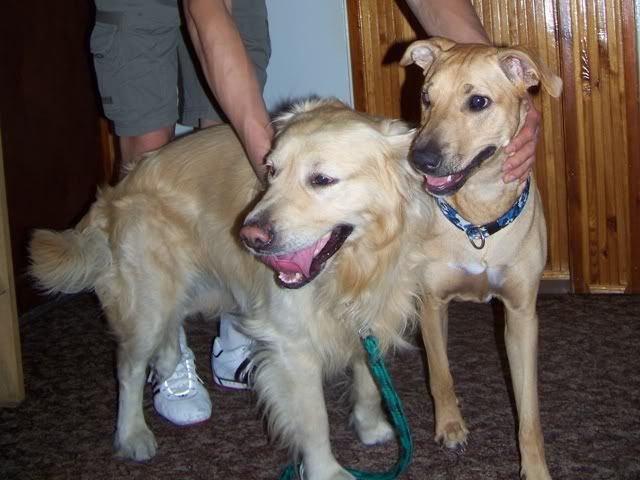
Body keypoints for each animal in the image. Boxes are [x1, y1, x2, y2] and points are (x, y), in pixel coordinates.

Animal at [29, 99, 432, 479]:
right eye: (271, 171)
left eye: (321, 179)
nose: (250, 237)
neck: (354, 268)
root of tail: (116, 190)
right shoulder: (293, 347)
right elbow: (314, 421)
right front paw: (326, 471)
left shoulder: (371, 320)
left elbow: (369, 383)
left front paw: (370, 427)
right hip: (149, 301)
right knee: (128, 369)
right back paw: (132, 435)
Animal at [401, 38, 562, 479]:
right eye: (426, 97)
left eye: (477, 102)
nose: (420, 160)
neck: (478, 218)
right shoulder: (431, 303)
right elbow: (440, 374)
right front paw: (450, 426)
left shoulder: (521, 314)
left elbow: (529, 412)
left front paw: (535, 467)